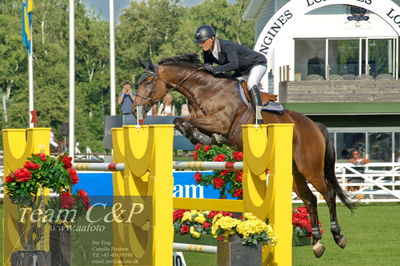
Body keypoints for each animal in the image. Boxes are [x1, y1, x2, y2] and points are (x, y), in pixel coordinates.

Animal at [133, 54, 358, 258]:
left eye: (149, 82)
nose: (136, 109)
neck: (205, 89)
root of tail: (314, 125)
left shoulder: (220, 122)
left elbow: (186, 121)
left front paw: (204, 137)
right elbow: (180, 121)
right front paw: (200, 137)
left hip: (310, 168)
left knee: (328, 193)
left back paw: (338, 236)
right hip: (295, 173)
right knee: (310, 200)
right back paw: (317, 243)